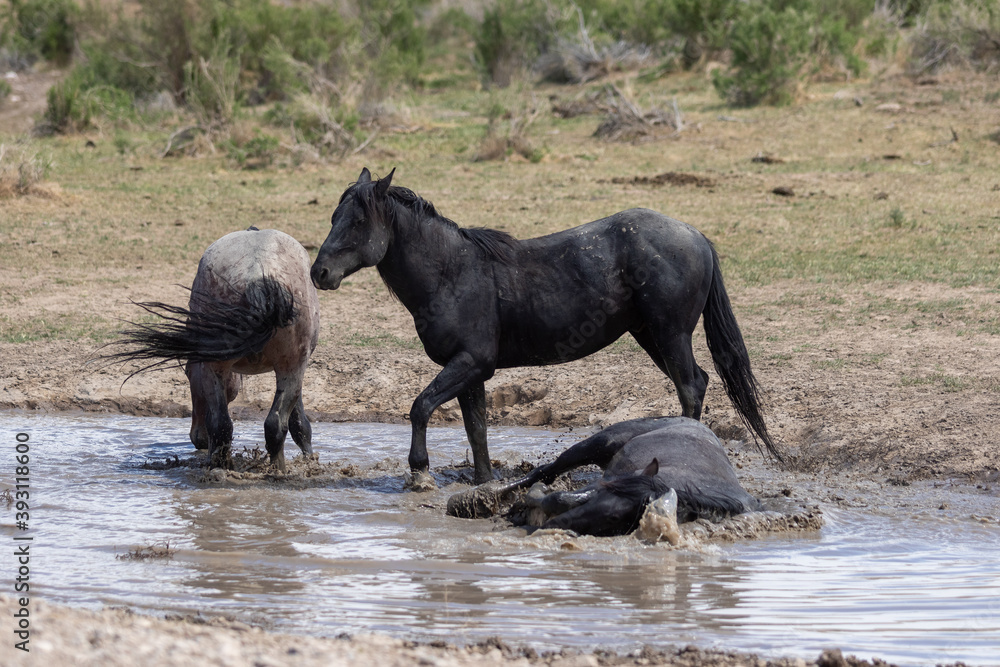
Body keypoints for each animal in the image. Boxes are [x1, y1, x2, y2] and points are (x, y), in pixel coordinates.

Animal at [106, 227, 321, 470]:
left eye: (187, 372)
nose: (197, 438)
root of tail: (258, 279)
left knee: (229, 425)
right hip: (279, 366)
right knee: (250, 425)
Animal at [311, 168, 778, 488]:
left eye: (357, 222)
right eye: (333, 216)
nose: (319, 273)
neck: (452, 272)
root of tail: (696, 235)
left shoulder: (469, 363)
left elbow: (420, 407)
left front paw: (420, 473)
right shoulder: (472, 371)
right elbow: (476, 429)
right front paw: (483, 482)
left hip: (670, 334)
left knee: (691, 386)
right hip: (651, 336)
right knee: (695, 383)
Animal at [448, 417, 762, 537]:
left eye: (613, 517)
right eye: (601, 496)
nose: (554, 526)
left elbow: (557, 499)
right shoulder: (602, 482)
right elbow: (555, 496)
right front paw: (522, 506)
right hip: (595, 444)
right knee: (546, 470)